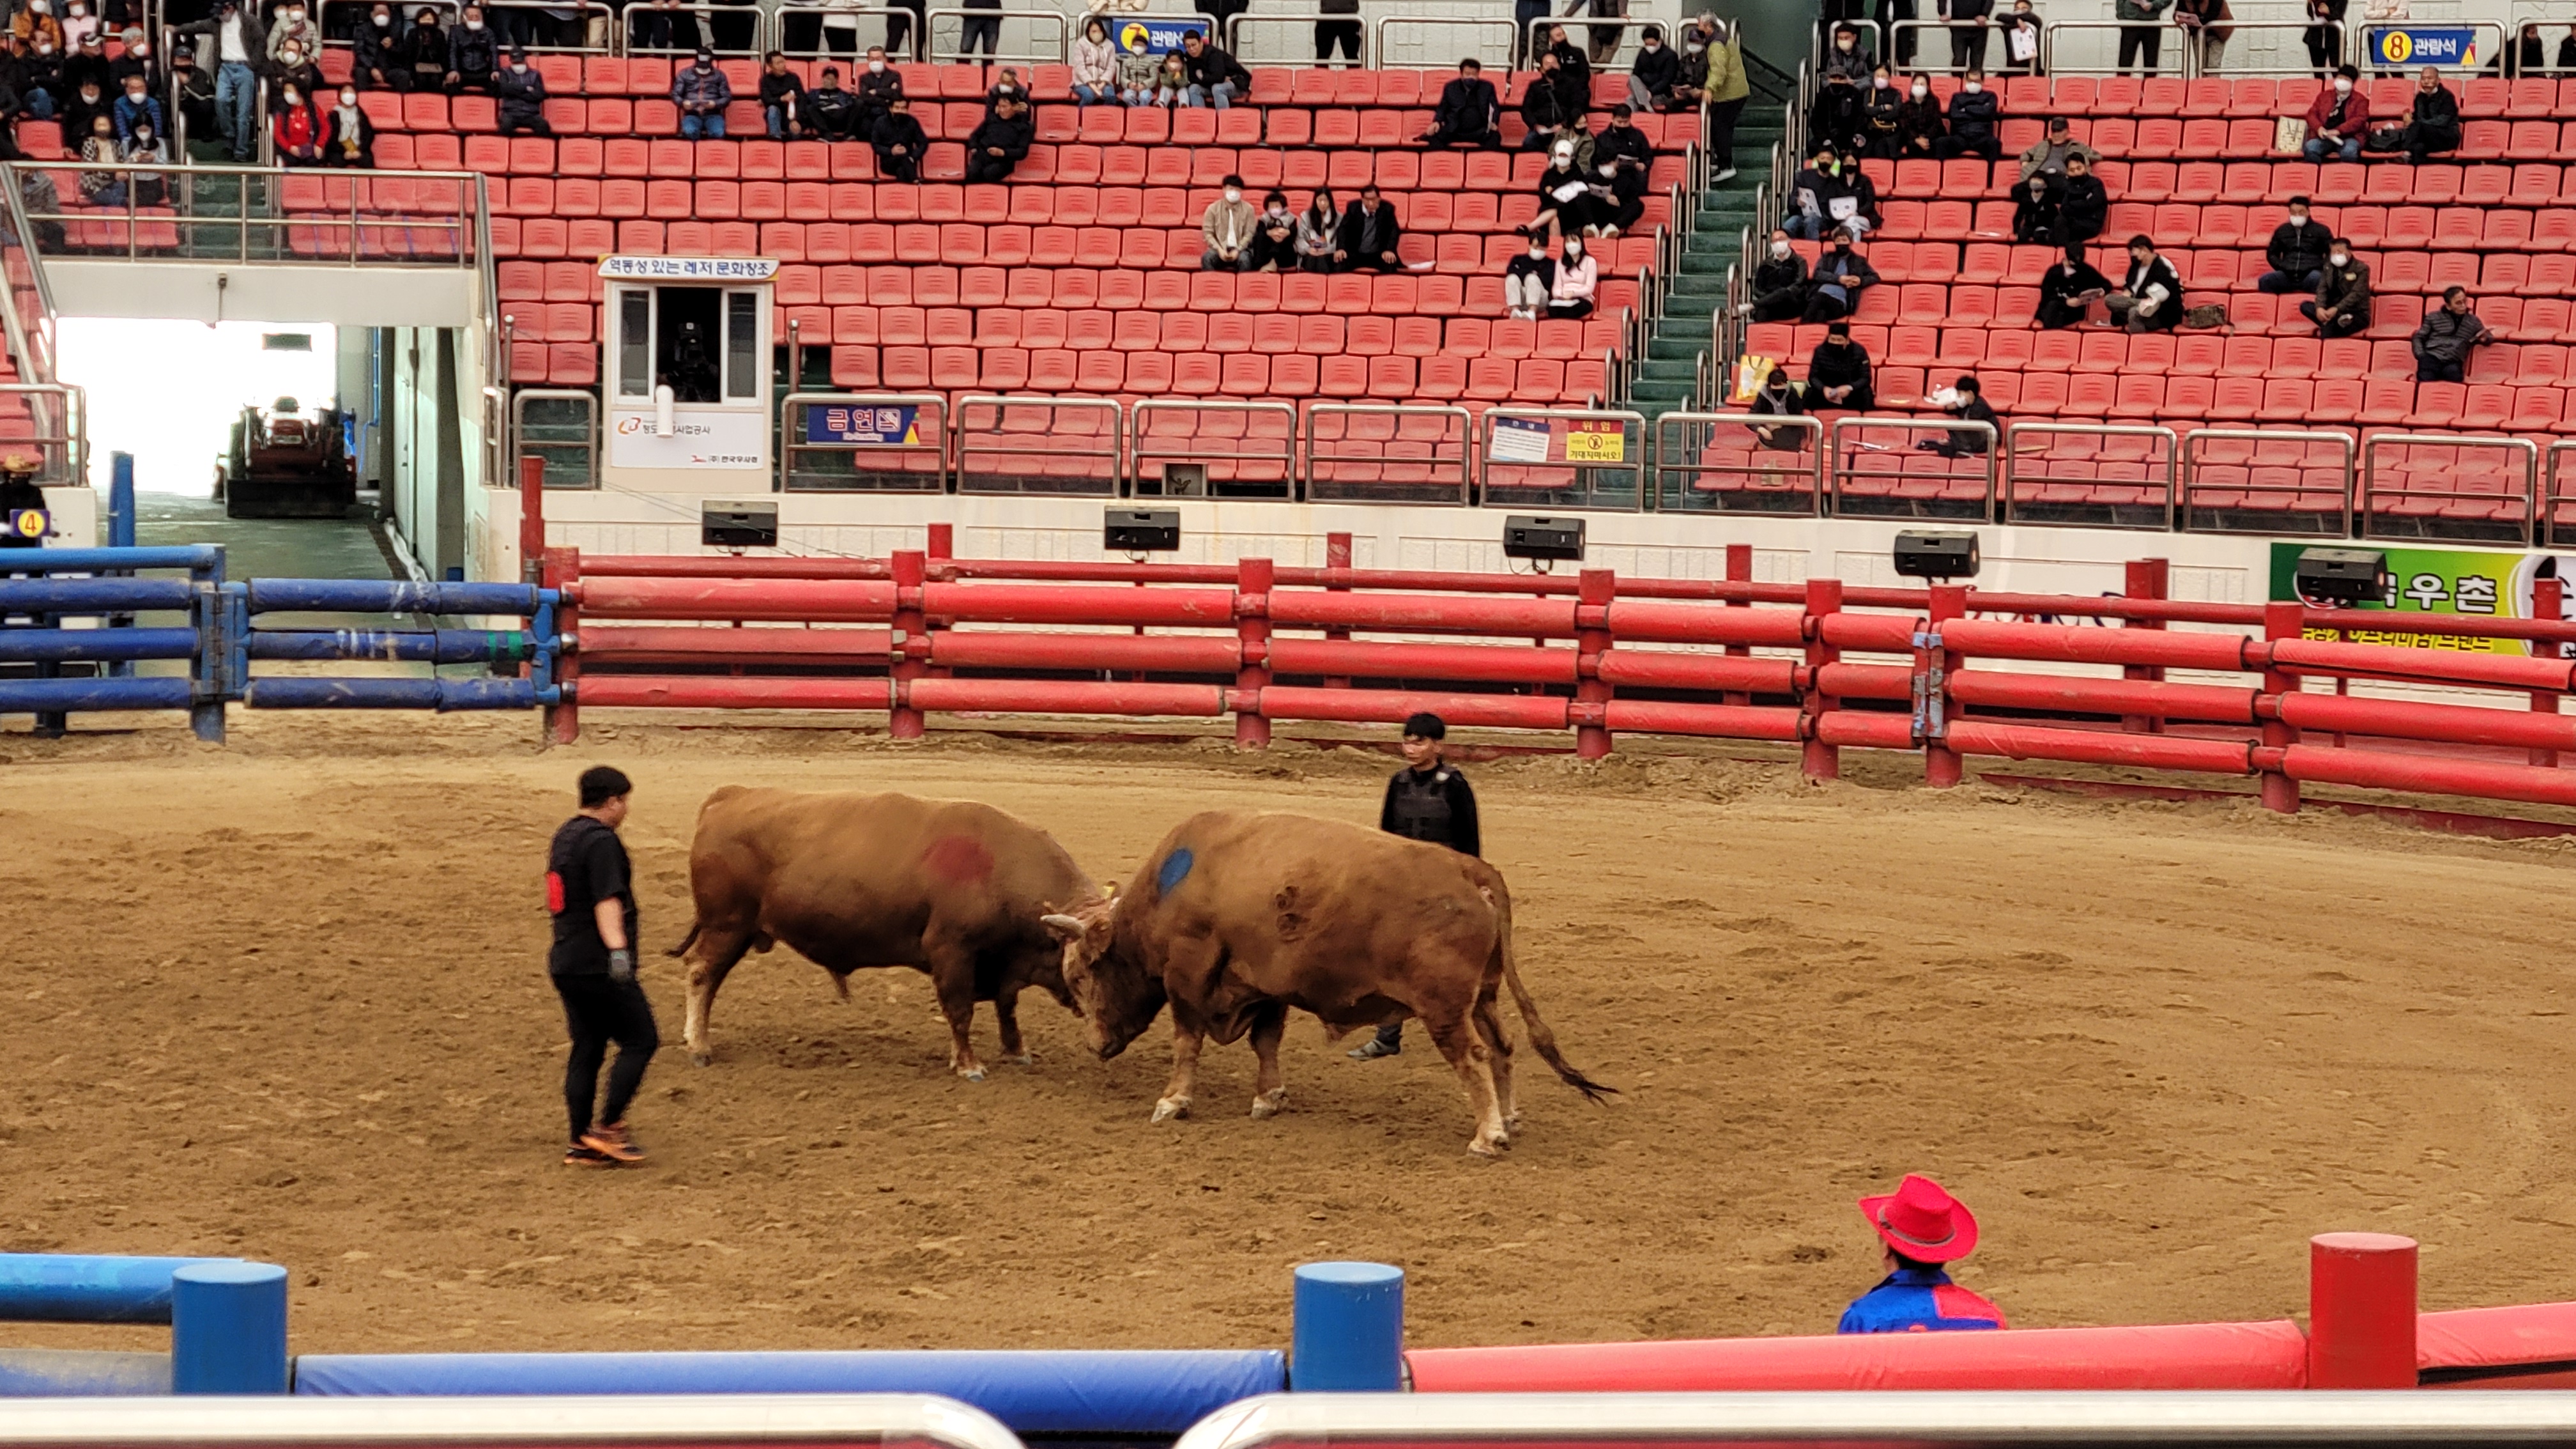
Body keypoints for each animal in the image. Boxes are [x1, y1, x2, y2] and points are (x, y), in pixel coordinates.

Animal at [668, 788, 1105, 1080]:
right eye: (1083, 969)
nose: (1101, 1036)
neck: (1001, 867)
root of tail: (731, 797)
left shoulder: (1002, 965)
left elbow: (1006, 1006)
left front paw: (1016, 1051)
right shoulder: (952, 952)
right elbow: (960, 1011)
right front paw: (968, 1064)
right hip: (726, 926)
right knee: (701, 973)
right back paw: (699, 1046)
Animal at [1042, 810, 1613, 1156]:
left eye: (1079, 974)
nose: (1094, 1044)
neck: (1176, 885)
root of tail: (1472, 871)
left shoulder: (1188, 976)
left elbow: (1187, 1042)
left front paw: (1173, 1101)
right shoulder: (1263, 987)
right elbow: (1266, 1042)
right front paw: (1269, 1098)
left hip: (1445, 1007)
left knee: (1472, 1056)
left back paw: (1487, 1134)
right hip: (1484, 997)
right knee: (1502, 1048)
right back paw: (1509, 1118)